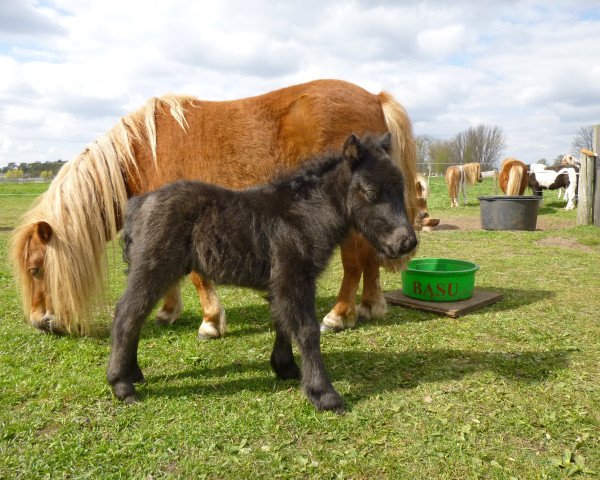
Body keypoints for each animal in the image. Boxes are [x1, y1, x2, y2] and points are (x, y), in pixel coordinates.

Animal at [9, 79, 418, 336]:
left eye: (35, 269)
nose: (39, 321)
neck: (142, 153)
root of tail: (374, 97)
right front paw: (168, 311)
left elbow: (195, 275)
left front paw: (210, 321)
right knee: (371, 257)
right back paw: (370, 305)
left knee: (355, 260)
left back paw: (339, 314)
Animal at [108, 134, 418, 412]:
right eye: (371, 193)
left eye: (401, 189)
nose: (407, 243)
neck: (305, 214)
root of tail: (138, 204)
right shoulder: (294, 278)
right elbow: (306, 330)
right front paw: (324, 395)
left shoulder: (281, 282)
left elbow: (282, 322)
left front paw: (285, 368)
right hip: (153, 268)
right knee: (126, 314)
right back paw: (121, 385)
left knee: (137, 315)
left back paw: (133, 373)